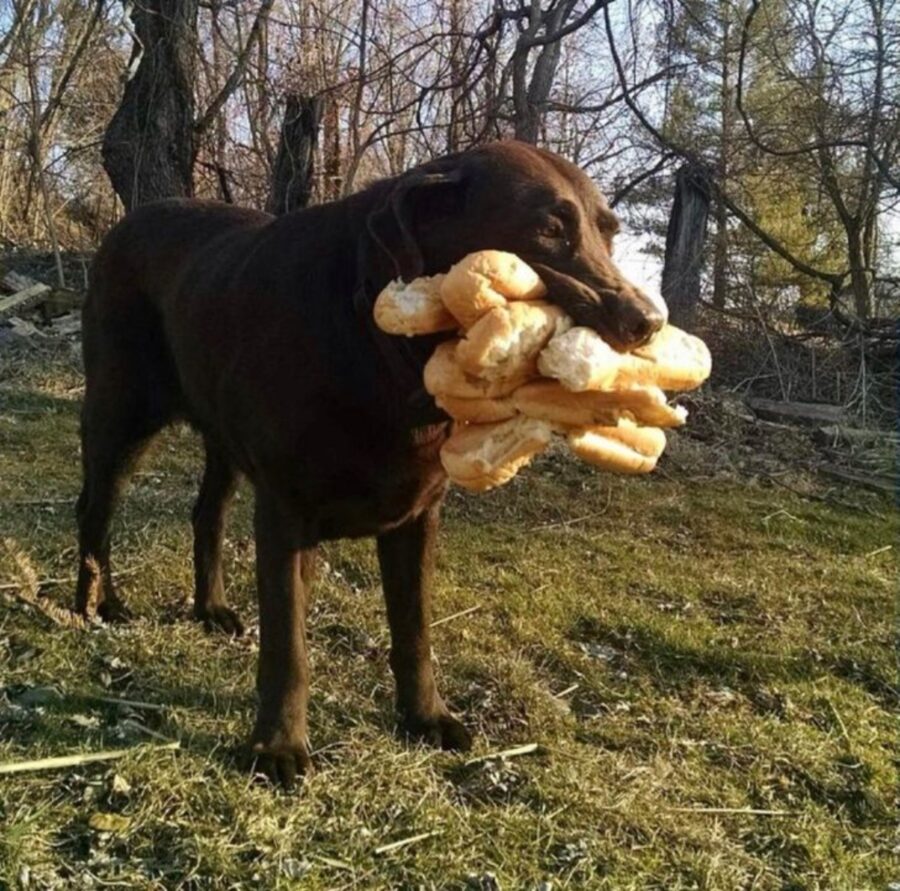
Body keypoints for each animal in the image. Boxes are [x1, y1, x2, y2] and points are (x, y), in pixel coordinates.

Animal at [74, 139, 664, 788]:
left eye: (608, 233)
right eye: (548, 230)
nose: (646, 323)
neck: (379, 349)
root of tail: (129, 220)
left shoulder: (418, 518)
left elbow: (414, 631)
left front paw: (425, 717)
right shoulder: (285, 514)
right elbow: (288, 647)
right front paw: (278, 746)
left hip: (220, 436)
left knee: (206, 514)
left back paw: (212, 609)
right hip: (122, 412)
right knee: (95, 507)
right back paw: (96, 604)